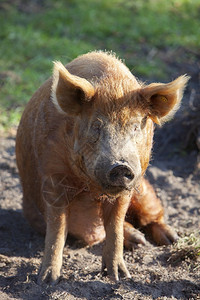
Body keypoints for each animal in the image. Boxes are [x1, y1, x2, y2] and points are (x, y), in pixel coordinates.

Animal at [15, 51, 189, 284]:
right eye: (96, 125)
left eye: (136, 126)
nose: (121, 166)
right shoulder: (52, 178)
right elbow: (57, 230)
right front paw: (47, 280)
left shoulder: (129, 187)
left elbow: (114, 227)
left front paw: (120, 278)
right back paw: (139, 241)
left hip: (144, 188)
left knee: (151, 215)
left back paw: (168, 240)